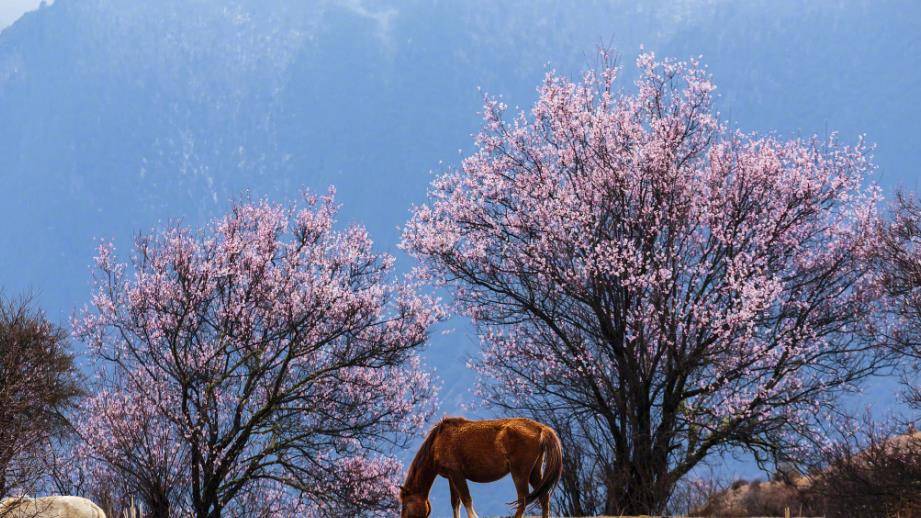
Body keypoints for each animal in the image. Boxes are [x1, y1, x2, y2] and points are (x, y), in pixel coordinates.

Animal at [400, 418, 564, 518]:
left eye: (405, 506)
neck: (437, 443)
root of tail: (541, 428)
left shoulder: (457, 474)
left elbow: (466, 500)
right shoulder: (451, 478)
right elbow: (455, 503)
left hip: (520, 472)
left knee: (523, 499)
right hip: (534, 471)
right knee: (544, 497)